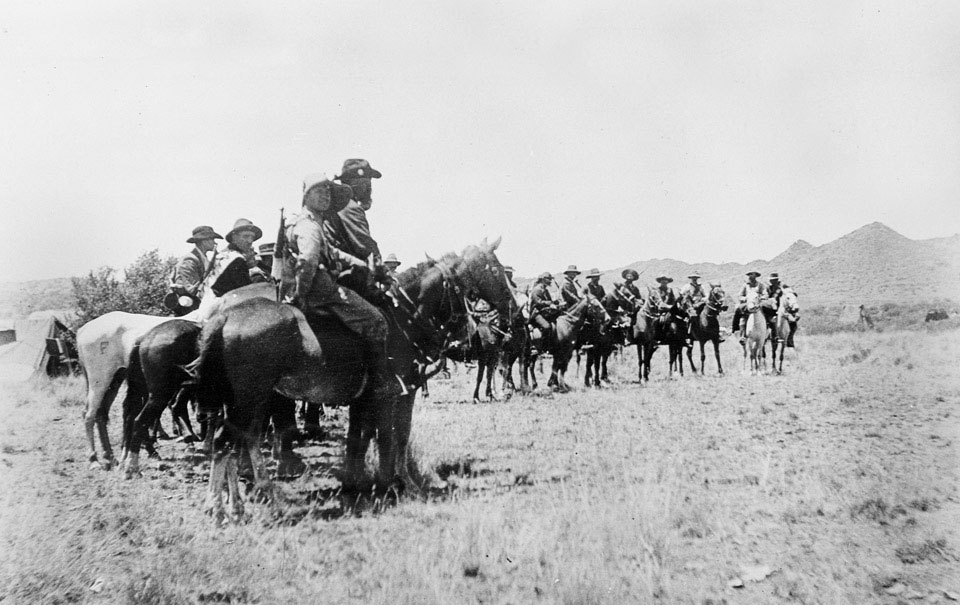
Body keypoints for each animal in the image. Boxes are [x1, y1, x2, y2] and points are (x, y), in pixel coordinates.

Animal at [194, 238, 516, 516]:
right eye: (496, 269)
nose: (513, 309)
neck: (404, 318)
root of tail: (223, 316)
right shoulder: (397, 394)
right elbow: (393, 437)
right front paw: (398, 485)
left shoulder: (370, 398)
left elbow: (366, 438)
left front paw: (364, 483)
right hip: (250, 397)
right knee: (232, 441)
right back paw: (231, 505)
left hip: (246, 399)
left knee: (236, 440)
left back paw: (236, 501)